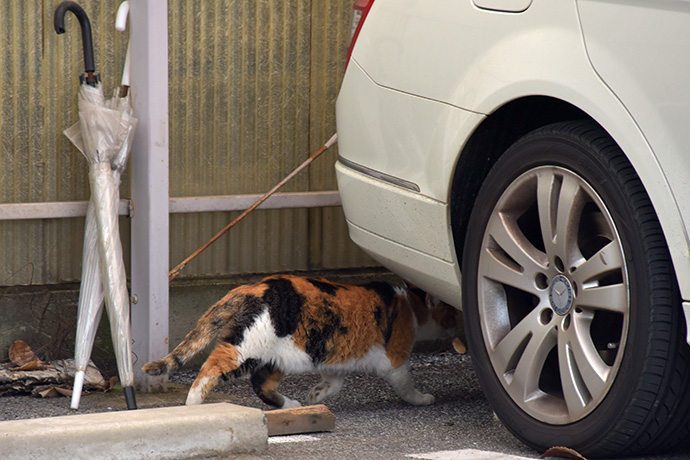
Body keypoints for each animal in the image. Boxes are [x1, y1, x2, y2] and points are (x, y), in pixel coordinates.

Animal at [142, 274, 454, 408]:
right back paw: (194, 403)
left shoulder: (332, 357)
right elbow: (406, 385)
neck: (412, 304)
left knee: (261, 383)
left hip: (280, 355)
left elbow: (335, 383)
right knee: (211, 367)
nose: (455, 322)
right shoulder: (395, 360)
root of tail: (251, 287)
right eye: (449, 310)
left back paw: (290, 405)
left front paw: (316, 396)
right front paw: (422, 399)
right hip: (247, 347)